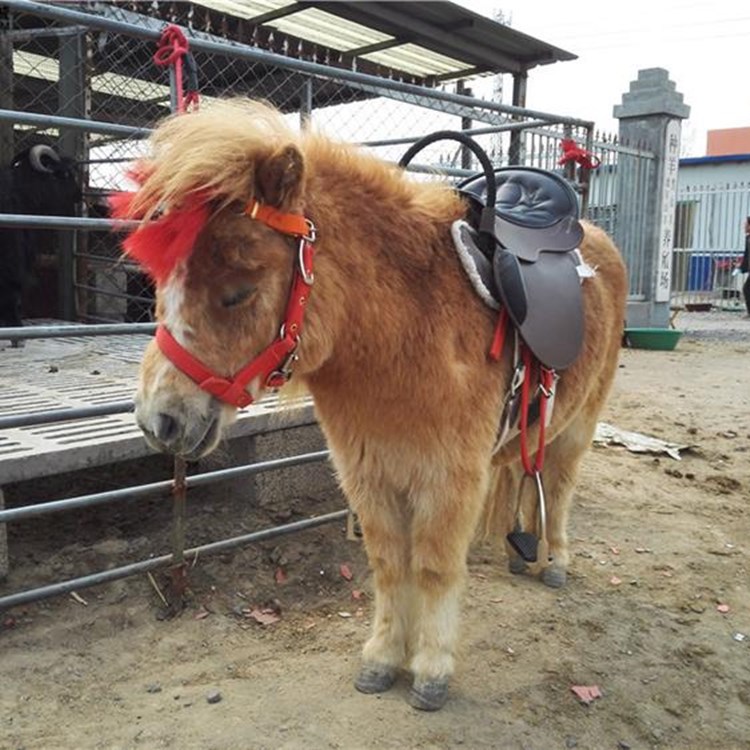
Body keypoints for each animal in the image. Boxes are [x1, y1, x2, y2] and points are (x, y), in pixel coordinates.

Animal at [113, 100, 627, 711]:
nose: (158, 420)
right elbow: (388, 565)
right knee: (528, 476)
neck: (405, 331)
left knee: (560, 485)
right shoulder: (370, 476)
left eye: (237, 292)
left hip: (579, 427)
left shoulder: (448, 481)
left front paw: (431, 670)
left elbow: (432, 569)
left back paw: (555, 561)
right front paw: (383, 658)